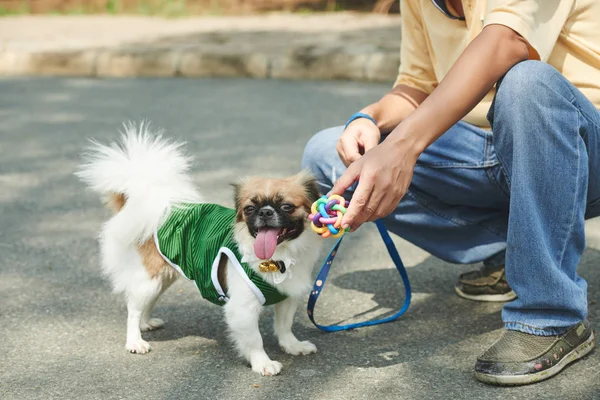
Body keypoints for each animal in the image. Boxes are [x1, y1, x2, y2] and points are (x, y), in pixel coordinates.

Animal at [79, 122, 326, 376]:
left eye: (286, 206)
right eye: (249, 209)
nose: (265, 212)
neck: (279, 258)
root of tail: (155, 204)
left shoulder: (287, 297)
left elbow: (285, 327)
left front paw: (293, 346)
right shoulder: (242, 308)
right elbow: (255, 340)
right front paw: (263, 363)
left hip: (164, 277)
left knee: (144, 304)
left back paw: (146, 324)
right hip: (149, 279)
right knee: (133, 308)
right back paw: (135, 341)